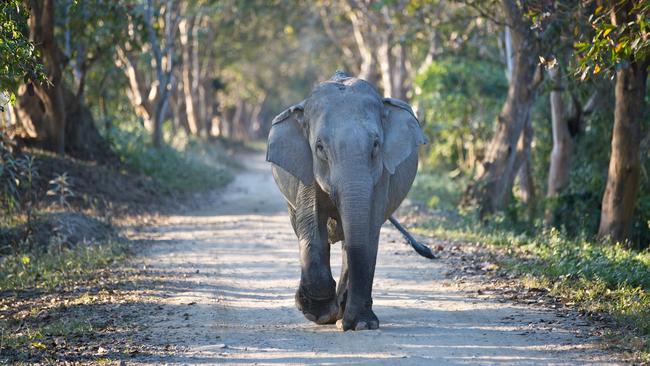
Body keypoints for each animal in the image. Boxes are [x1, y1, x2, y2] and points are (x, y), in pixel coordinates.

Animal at [266, 71, 428, 332]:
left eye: (376, 145)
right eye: (320, 147)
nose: (352, 323)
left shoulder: (381, 175)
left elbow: (368, 230)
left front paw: (361, 323)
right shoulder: (306, 168)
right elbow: (312, 224)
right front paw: (317, 311)